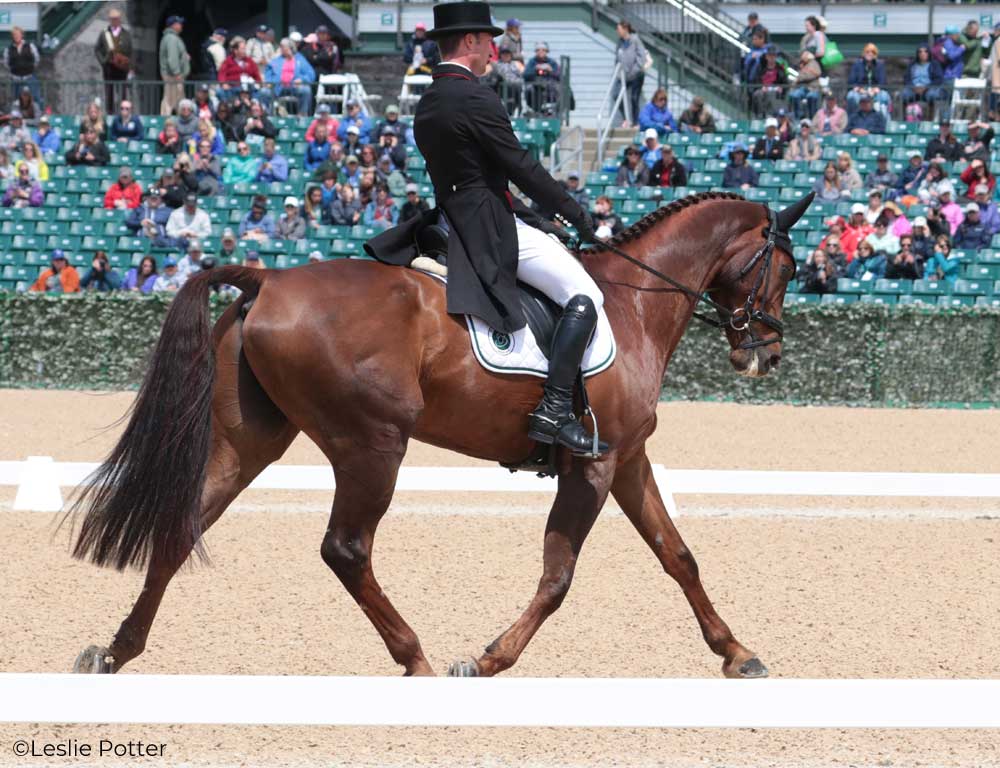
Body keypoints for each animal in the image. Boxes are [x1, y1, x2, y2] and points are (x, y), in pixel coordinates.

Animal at [70, 190, 808, 680]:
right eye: (785, 266)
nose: (768, 355)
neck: (632, 303)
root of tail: (268, 276)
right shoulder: (592, 466)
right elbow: (559, 574)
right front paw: (487, 659)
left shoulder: (626, 458)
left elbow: (678, 556)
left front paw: (737, 653)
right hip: (373, 443)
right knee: (346, 549)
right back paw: (417, 660)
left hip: (251, 440)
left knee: (182, 527)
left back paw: (114, 651)